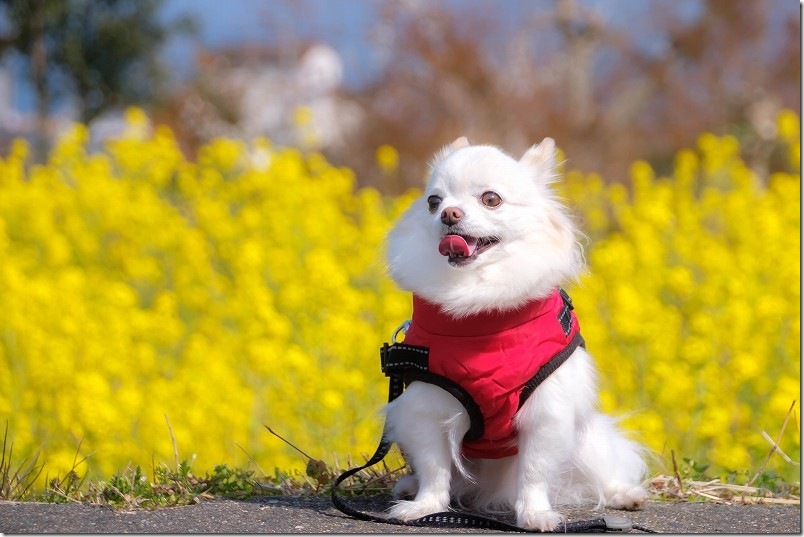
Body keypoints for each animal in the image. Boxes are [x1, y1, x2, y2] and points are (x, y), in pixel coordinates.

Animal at [384, 136, 648, 528]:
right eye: (433, 202)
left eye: (490, 199)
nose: (448, 214)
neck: (481, 313)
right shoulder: (427, 407)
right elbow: (434, 467)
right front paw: (425, 507)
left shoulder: (547, 412)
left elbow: (534, 472)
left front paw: (535, 515)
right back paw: (408, 487)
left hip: (587, 439)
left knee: (603, 470)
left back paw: (624, 495)